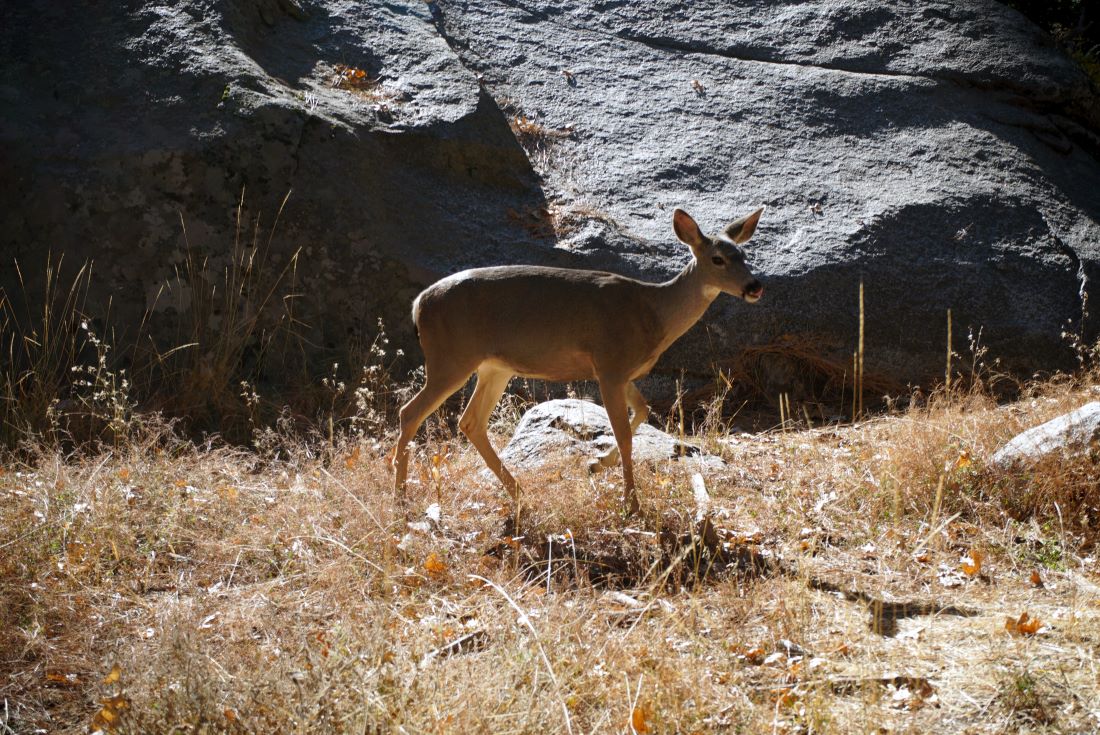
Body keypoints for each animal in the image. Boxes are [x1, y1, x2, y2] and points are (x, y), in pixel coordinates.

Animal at [389, 205, 765, 517]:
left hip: (494, 367)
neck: (652, 314)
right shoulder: (610, 364)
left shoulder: (622, 371)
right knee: (410, 412)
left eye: (744, 254)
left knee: (470, 421)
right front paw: (631, 503)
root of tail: (418, 304)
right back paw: (401, 498)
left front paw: (597, 464)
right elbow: (624, 434)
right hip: (450, 357)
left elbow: (642, 412)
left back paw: (519, 494)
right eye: (717, 259)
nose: (754, 286)